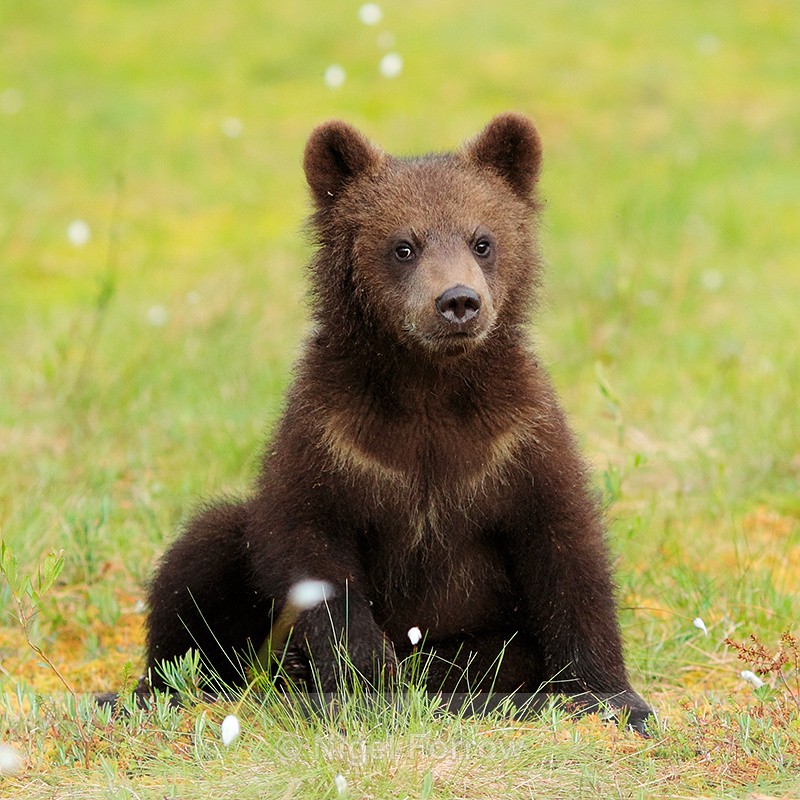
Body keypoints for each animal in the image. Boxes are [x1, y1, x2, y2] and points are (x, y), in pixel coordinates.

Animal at [141, 113, 652, 732]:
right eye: (403, 245)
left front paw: (611, 694)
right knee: (200, 556)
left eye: (483, 240)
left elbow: (565, 546)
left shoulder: (514, 440)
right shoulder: (333, 437)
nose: (458, 301)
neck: (428, 387)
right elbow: (310, 545)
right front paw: (365, 678)